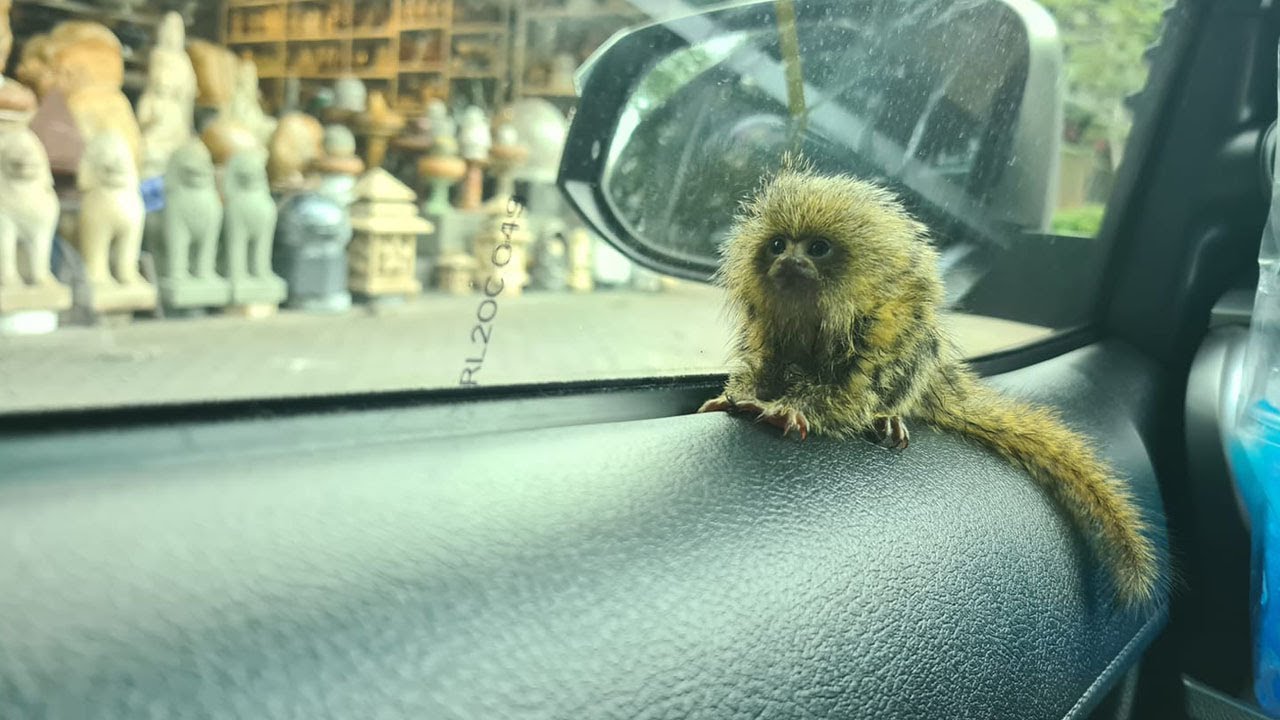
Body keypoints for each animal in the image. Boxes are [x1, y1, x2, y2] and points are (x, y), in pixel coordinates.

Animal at [698, 159, 1160, 609]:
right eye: (777, 245)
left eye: (817, 248)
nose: (787, 262)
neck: (818, 313)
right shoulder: (768, 330)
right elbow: (764, 366)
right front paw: (737, 396)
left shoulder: (878, 329)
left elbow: (851, 394)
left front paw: (786, 409)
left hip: (916, 349)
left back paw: (886, 416)